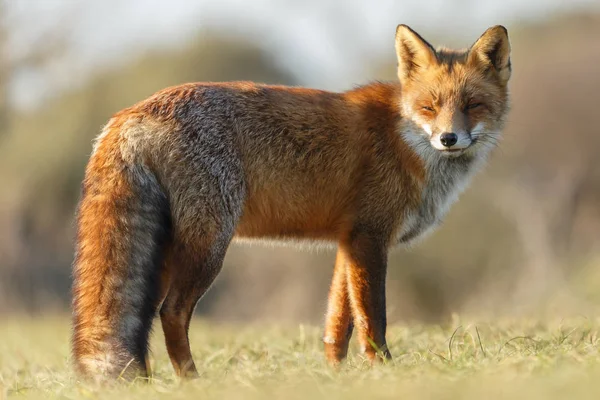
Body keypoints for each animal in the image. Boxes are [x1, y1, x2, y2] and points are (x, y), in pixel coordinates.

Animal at [71, 23, 510, 380]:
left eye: (472, 105)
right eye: (429, 107)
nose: (448, 139)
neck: (404, 139)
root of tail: (129, 114)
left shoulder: (349, 241)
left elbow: (338, 325)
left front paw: (336, 378)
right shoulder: (371, 237)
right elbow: (374, 319)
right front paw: (385, 372)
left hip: (162, 251)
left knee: (140, 316)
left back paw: (147, 382)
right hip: (208, 245)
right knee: (170, 312)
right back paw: (191, 380)